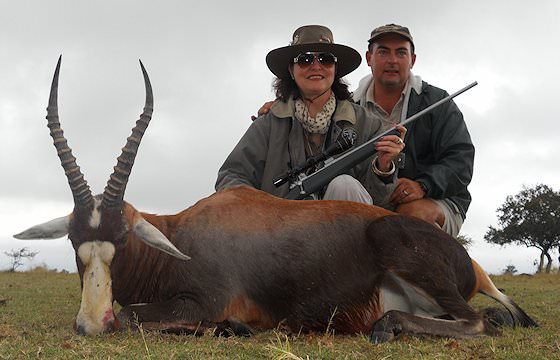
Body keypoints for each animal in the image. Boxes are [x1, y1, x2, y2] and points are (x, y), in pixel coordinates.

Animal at [14, 57, 540, 342]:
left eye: (122, 241)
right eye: (74, 243)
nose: (90, 324)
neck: (181, 235)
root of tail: (471, 264)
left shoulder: (203, 303)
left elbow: (132, 315)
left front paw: (236, 328)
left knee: (480, 323)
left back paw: (386, 326)